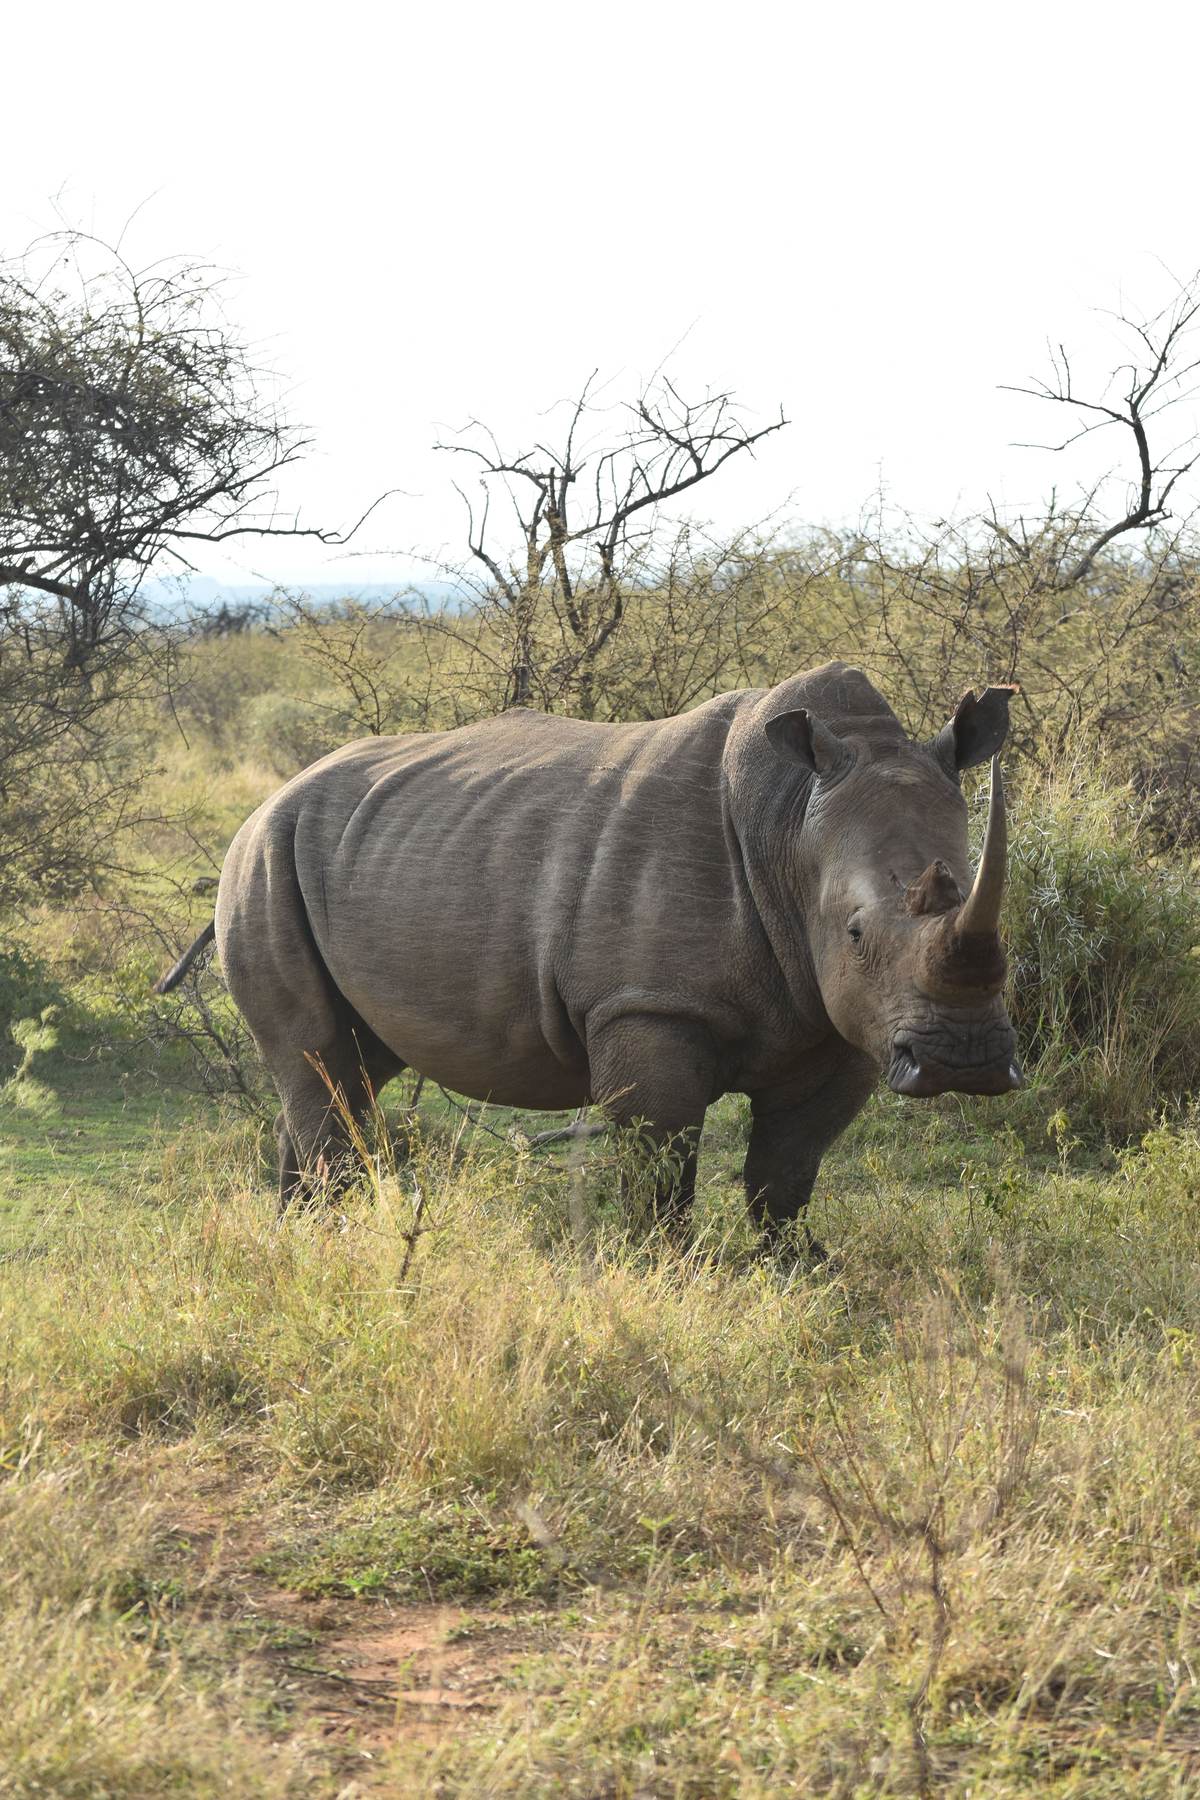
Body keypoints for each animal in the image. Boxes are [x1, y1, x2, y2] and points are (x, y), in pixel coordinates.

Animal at [156, 662, 1021, 1243]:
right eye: (855, 931)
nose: (966, 1060)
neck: (789, 826)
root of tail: (269, 798)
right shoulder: (648, 1006)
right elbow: (659, 1171)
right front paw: (666, 1278)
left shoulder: (843, 1020)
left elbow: (786, 1175)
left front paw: (794, 1272)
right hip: (262, 861)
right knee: (323, 1067)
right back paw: (328, 1249)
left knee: (347, 1072)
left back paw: (296, 1244)